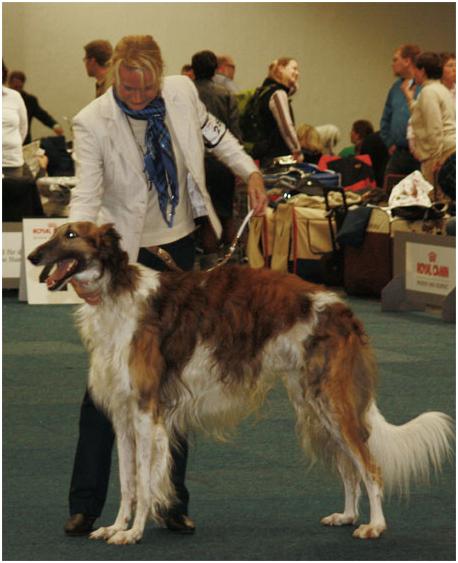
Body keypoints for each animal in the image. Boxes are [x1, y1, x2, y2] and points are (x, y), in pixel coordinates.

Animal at [28, 221, 453, 545]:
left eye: (70, 235)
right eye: (57, 231)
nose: (33, 257)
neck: (117, 295)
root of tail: (342, 307)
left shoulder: (147, 411)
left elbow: (146, 482)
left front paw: (133, 533)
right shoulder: (122, 415)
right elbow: (129, 481)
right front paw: (116, 527)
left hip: (332, 401)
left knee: (369, 466)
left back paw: (375, 525)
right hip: (315, 402)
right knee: (350, 468)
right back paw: (347, 516)